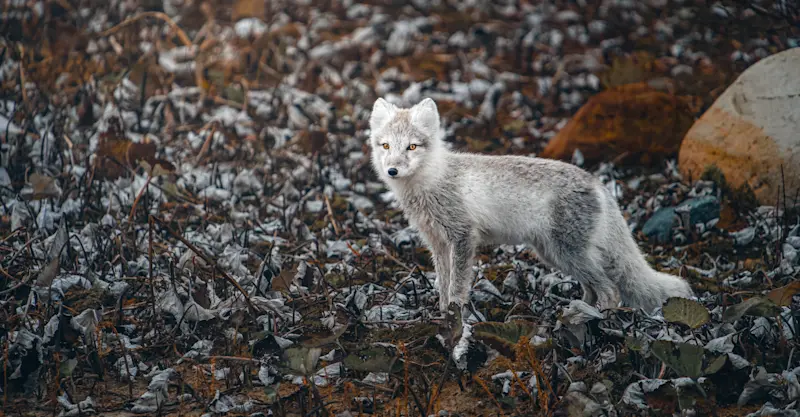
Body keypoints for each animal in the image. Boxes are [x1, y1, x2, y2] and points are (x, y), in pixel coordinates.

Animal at [368, 97, 695, 314]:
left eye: (412, 147)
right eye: (386, 146)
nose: (392, 170)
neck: (432, 181)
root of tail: (598, 184)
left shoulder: (462, 237)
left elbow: (458, 282)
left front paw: (456, 312)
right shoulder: (437, 242)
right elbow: (444, 282)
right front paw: (442, 310)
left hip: (568, 252)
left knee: (610, 289)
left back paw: (599, 318)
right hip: (556, 255)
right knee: (592, 287)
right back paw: (574, 311)